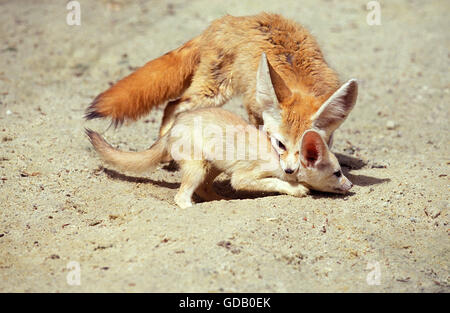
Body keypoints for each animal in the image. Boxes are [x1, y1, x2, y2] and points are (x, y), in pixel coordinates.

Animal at [85, 12, 358, 176]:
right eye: (280, 144)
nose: (290, 171)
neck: (300, 80)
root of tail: (227, 20)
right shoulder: (253, 107)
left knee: (172, 105)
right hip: (212, 92)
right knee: (173, 105)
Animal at [86, 107, 354, 207]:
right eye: (337, 173)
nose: (351, 186)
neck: (285, 160)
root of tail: (171, 129)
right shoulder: (244, 177)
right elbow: (276, 182)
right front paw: (297, 189)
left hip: (212, 166)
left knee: (204, 189)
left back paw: (220, 200)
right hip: (197, 167)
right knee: (181, 196)